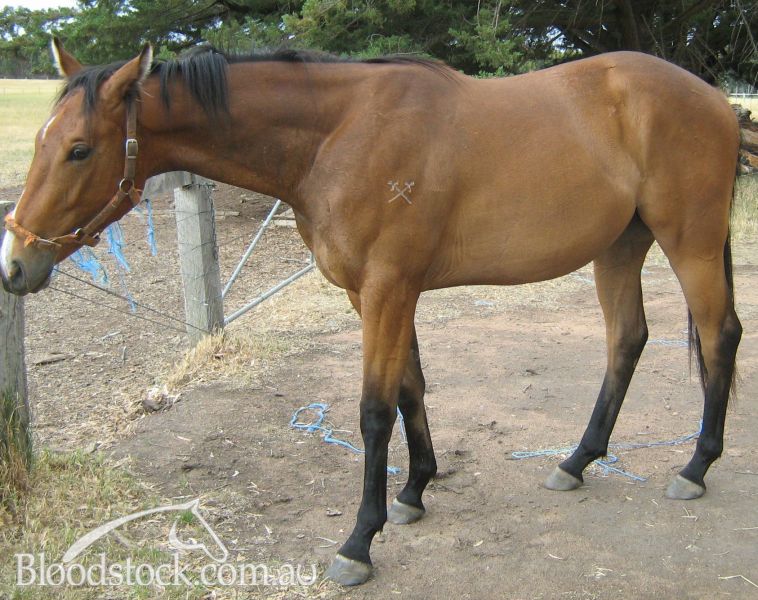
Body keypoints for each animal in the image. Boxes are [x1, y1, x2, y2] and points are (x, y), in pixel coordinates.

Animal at [0, 39, 742, 586]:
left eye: (79, 149)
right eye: (40, 143)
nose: (15, 265)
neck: (339, 135)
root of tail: (717, 100)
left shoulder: (387, 289)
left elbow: (374, 411)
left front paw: (359, 539)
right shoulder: (379, 293)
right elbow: (410, 388)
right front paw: (414, 492)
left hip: (691, 241)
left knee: (719, 338)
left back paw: (694, 469)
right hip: (621, 245)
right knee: (627, 341)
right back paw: (578, 460)